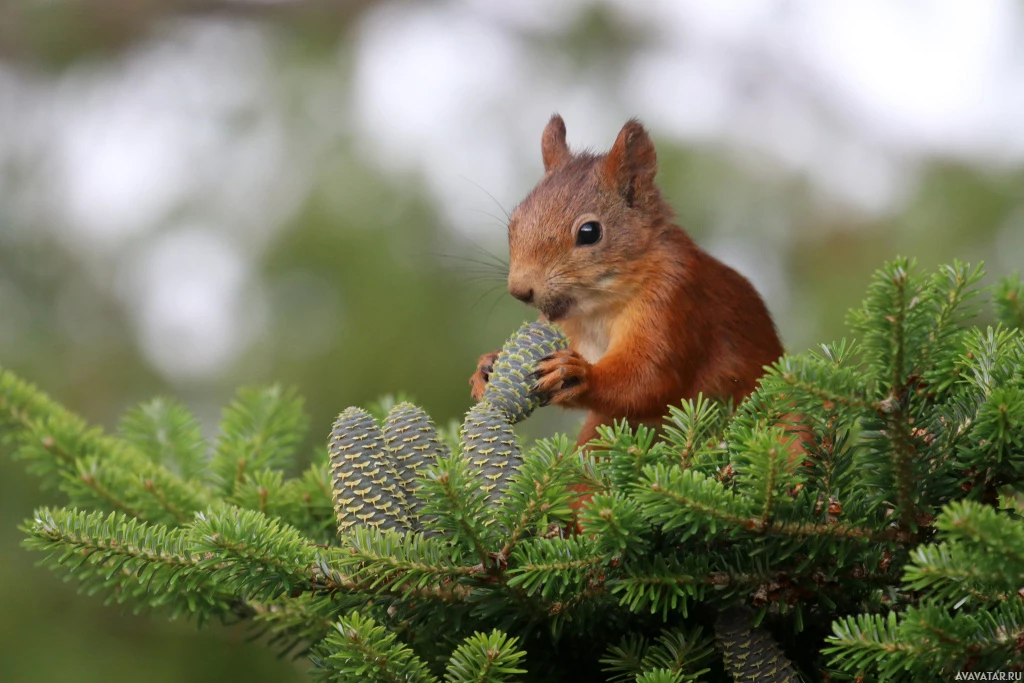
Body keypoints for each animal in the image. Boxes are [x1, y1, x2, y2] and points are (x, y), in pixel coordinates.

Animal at [468, 114, 782, 450]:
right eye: (514, 223)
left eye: (589, 232)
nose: (520, 290)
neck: (598, 309)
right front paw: (486, 366)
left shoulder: (675, 299)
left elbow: (649, 380)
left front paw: (576, 374)